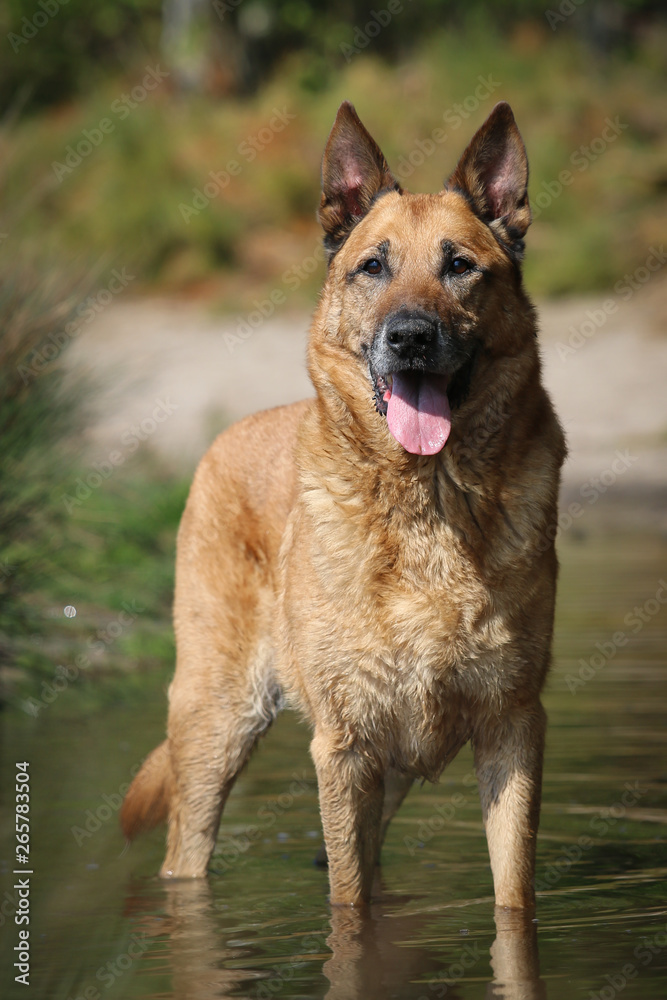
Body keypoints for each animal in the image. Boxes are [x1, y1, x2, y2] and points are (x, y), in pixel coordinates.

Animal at [120, 103, 564, 916]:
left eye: (459, 266)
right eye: (373, 267)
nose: (411, 337)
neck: (426, 501)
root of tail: (227, 434)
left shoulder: (513, 727)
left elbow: (511, 897)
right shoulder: (345, 744)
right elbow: (348, 905)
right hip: (217, 726)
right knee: (187, 853)